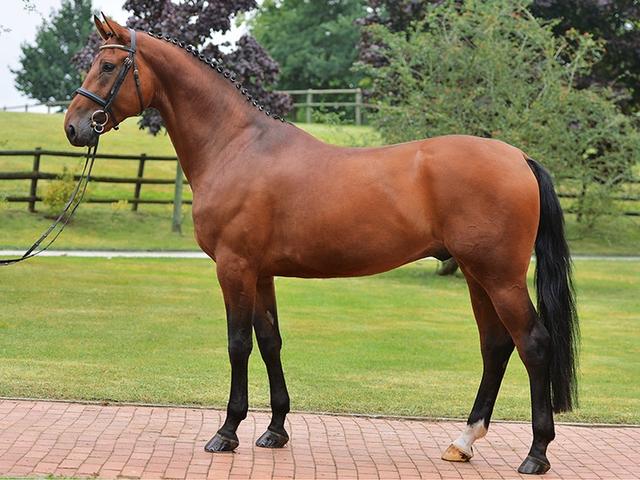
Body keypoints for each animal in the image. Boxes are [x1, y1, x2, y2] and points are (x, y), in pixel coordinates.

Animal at [64, 17, 578, 475]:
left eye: (107, 66)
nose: (74, 127)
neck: (236, 146)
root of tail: (519, 157)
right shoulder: (261, 272)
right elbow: (270, 341)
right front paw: (275, 430)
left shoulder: (234, 268)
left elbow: (238, 345)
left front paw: (227, 432)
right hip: (477, 275)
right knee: (495, 345)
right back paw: (463, 441)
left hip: (500, 277)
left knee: (533, 344)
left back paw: (536, 454)